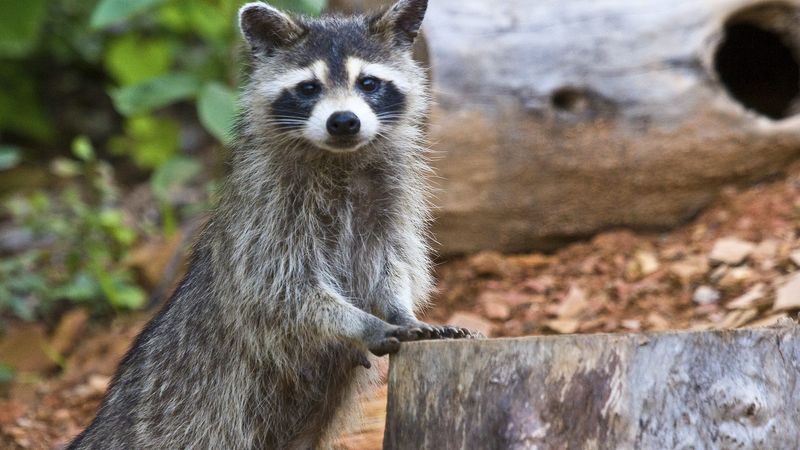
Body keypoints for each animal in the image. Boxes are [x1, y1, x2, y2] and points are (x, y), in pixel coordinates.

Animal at [68, 0, 475, 448]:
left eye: (368, 83)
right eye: (309, 88)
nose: (344, 121)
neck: (341, 158)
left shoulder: (391, 201)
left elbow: (393, 263)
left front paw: (401, 311)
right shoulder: (267, 214)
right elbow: (279, 291)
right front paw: (362, 323)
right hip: (192, 413)